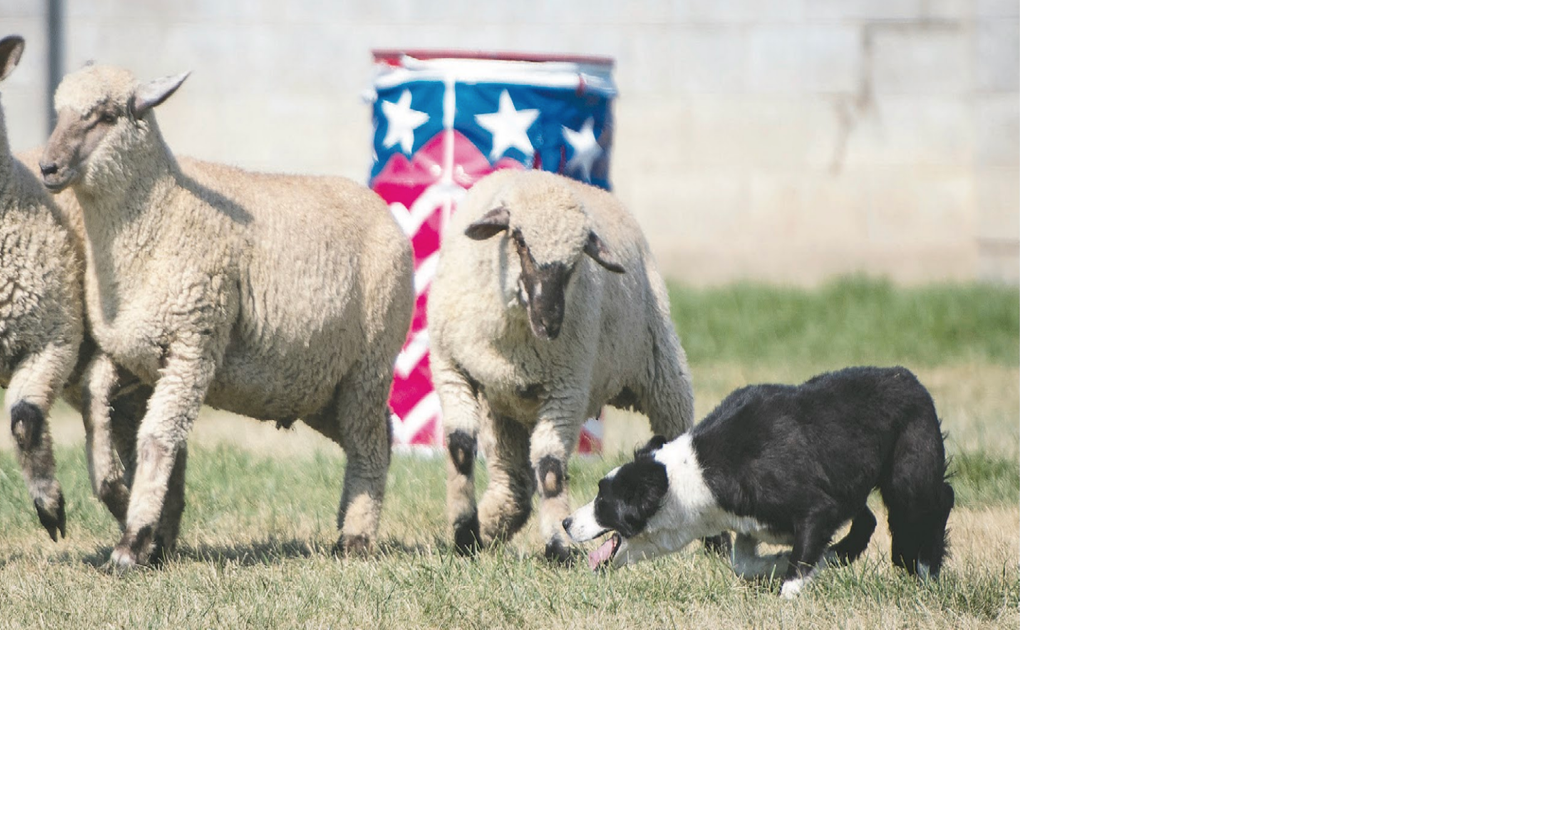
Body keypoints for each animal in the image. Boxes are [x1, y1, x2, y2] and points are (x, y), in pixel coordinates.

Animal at [37, 62, 415, 570]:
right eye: (60, 111)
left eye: (106, 115)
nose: (47, 167)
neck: (158, 217)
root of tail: (380, 207)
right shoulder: (136, 352)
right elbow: (96, 401)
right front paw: (113, 488)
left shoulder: (193, 345)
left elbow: (157, 440)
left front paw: (133, 541)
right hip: (316, 383)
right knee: (377, 435)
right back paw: (347, 525)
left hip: (369, 364)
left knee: (369, 441)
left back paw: (354, 539)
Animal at [428, 168, 700, 561]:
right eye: (519, 240)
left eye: (575, 261)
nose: (550, 322)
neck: (516, 339)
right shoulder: (451, 369)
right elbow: (461, 450)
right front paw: (464, 533)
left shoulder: (566, 389)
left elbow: (551, 469)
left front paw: (558, 544)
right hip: (505, 409)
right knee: (513, 482)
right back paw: (490, 526)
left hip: (662, 371)